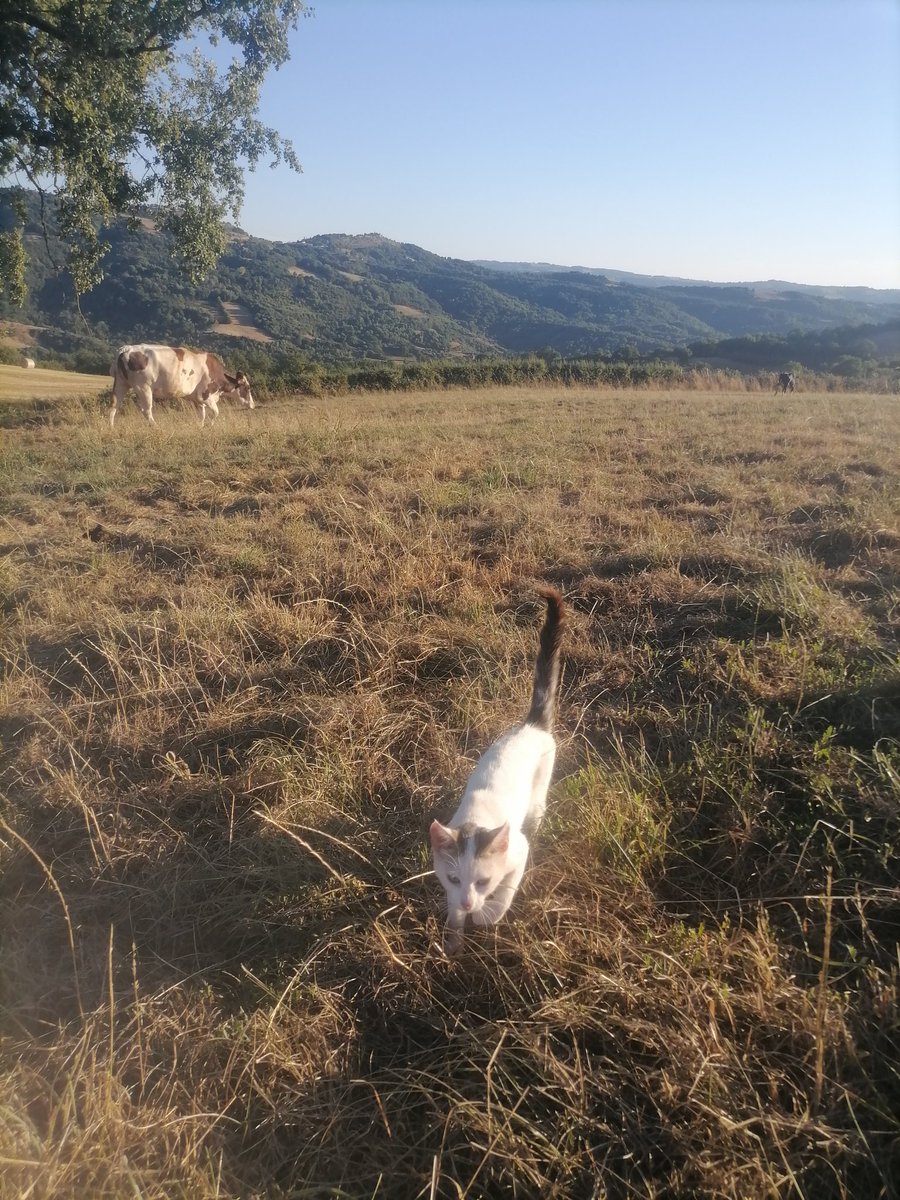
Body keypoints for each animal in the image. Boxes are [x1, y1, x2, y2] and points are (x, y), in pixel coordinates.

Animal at [109, 344, 255, 427]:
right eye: (248, 388)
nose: (252, 405)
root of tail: (126, 349)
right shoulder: (205, 395)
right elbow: (215, 412)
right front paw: (210, 426)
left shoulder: (198, 400)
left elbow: (201, 415)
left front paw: (200, 427)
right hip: (143, 387)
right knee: (146, 410)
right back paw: (155, 426)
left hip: (121, 384)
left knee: (114, 405)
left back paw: (111, 427)